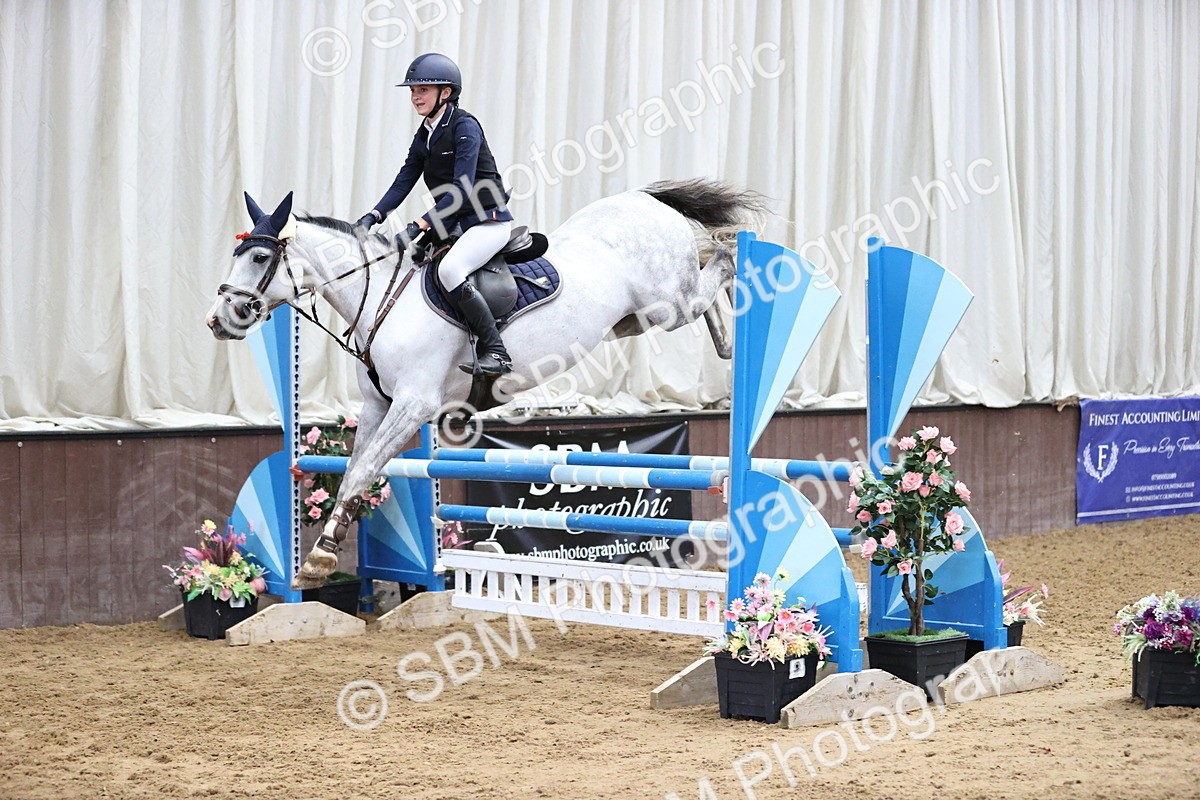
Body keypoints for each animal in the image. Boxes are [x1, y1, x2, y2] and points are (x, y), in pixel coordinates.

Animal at [207, 178, 763, 588]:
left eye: (260, 258)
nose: (218, 320)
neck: (384, 295)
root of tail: (645, 199)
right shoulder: (377, 406)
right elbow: (351, 474)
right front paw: (320, 556)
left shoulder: (413, 405)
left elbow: (363, 469)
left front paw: (320, 556)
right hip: (639, 318)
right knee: (704, 283)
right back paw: (727, 343)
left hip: (666, 302)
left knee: (717, 259)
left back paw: (737, 277)